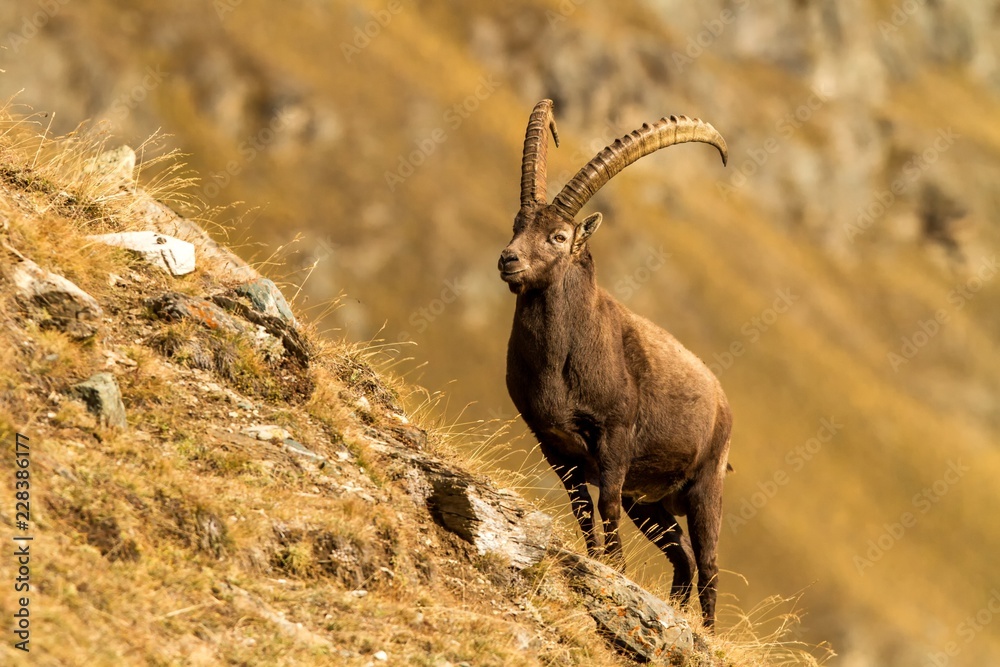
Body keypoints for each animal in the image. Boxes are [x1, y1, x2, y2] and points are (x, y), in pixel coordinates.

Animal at [499, 100, 733, 628]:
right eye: (517, 224)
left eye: (559, 236)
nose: (508, 260)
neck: (561, 363)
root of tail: (723, 400)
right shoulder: (554, 444)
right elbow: (582, 507)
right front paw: (599, 562)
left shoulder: (615, 439)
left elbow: (603, 505)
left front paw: (615, 570)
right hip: (649, 501)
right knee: (682, 555)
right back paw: (675, 608)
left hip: (704, 486)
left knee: (708, 564)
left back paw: (706, 632)